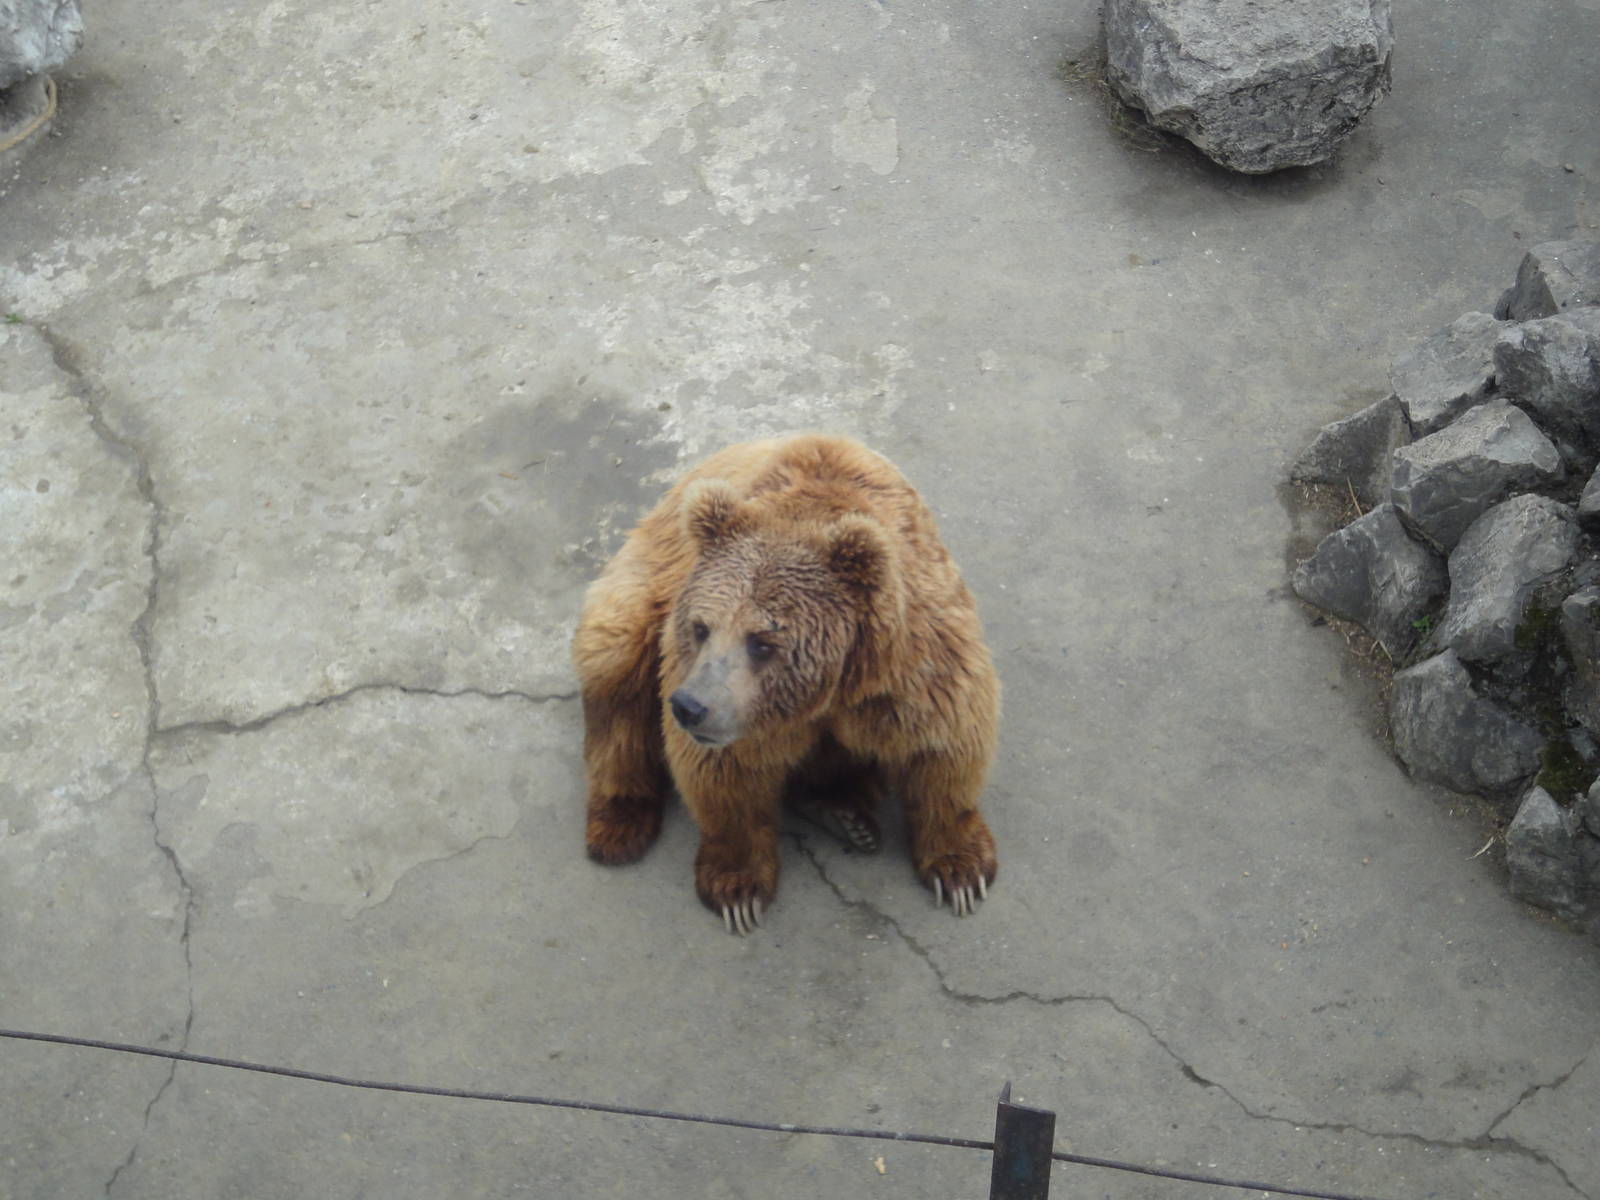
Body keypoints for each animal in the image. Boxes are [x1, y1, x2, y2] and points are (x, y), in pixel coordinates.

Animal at [572, 433, 1000, 933]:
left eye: (761, 641)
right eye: (701, 627)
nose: (689, 706)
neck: (834, 686)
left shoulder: (909, 668)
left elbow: (942, 748)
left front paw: (961, 871)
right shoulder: (729, 702)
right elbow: (726, 775)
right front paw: (737, 889)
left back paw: (842, 810)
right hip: (644, 586)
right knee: (617, 668)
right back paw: (619, 824)